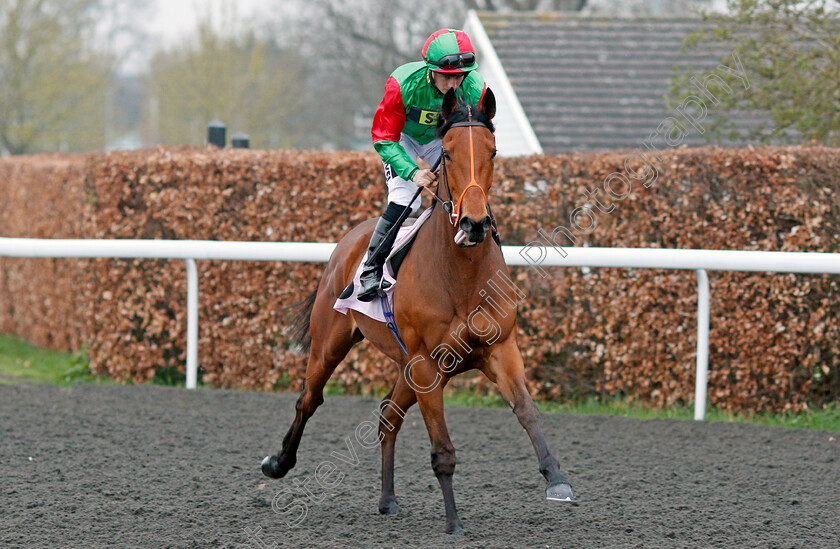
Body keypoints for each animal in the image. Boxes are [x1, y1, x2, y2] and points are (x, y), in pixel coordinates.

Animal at [262, 88, 576, 532]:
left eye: (493, 151)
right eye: (446, 153)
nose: (474, 224)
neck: (461, 274)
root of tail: (349, 241)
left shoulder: (500, 349)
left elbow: (527, 411)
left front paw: (556, 478)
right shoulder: (428, 364)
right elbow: (442, 450)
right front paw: (454, 521)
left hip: (406, 367)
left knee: (387, 415)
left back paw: (387, 499)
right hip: (331, 345)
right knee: (309, 399)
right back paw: (278, 463)